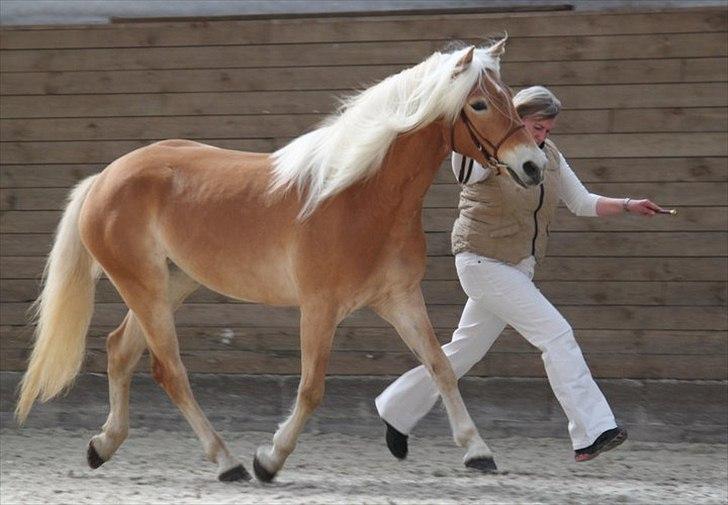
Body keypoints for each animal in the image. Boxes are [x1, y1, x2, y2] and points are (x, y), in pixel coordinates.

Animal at [14, 39, 544, 480]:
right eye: (479, 103)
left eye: (508, 95)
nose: (533, 165)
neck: (359, 195)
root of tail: (104, 178)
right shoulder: (319, 308)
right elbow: (311, 388)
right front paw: (268, 460)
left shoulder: (398, 299)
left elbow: (440, 367)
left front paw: (478, 451)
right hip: (144, 287)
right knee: (170, 371)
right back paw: (228, 463)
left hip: (170, 283)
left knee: (121, 350)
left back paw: (102, 446)